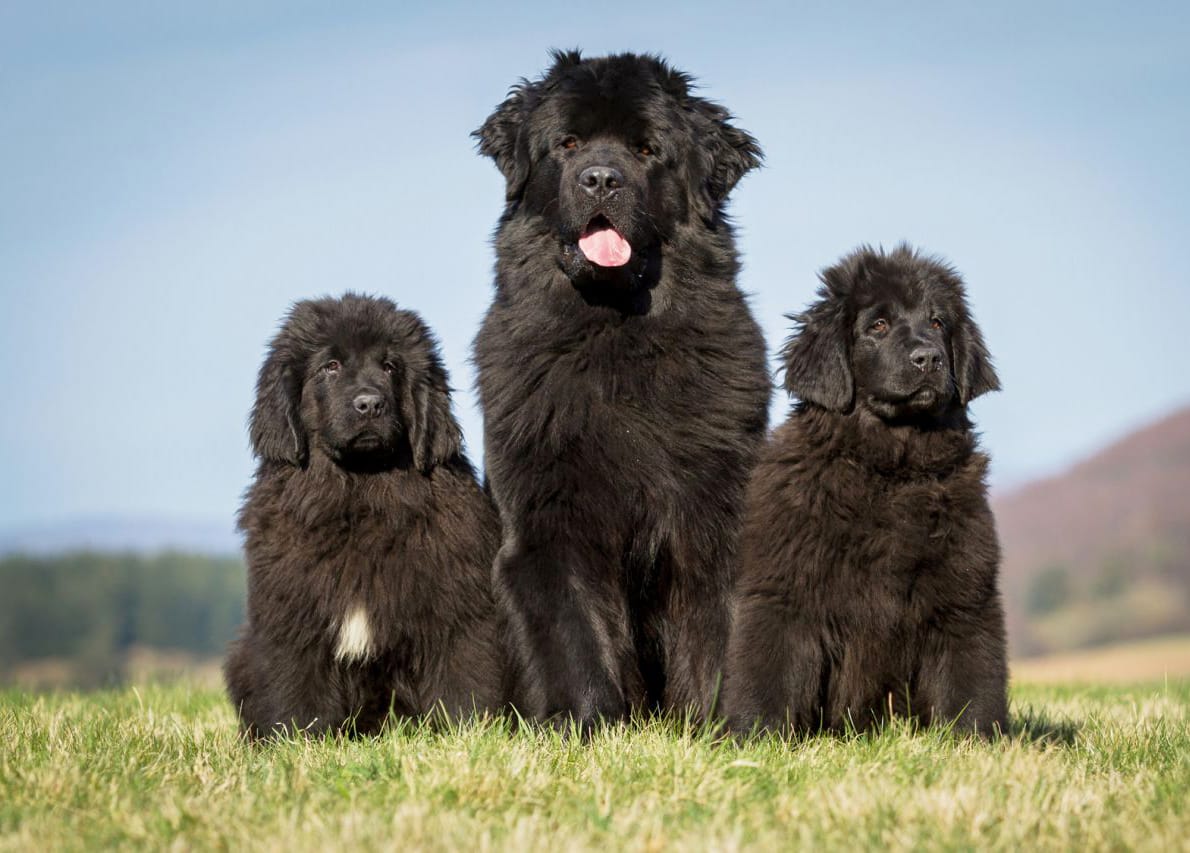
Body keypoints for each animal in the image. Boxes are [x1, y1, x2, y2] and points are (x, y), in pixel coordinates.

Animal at [224, 292, 504, 737]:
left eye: (389, 366)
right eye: (331, 366)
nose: (370, 403)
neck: (359, 495)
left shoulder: (456, 608)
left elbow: (462, 680)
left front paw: (469, 734)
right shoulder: (294, 615)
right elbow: (295, 688)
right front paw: (297, 741)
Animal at [468, 49, 766, 728]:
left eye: (646, 148)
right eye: (568, 143)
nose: (601, 180)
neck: (615, 335)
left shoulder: (716, 515)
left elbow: (716, 632)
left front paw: (718, 727)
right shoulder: (549, 521)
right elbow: (575, 635)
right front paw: (590, 727)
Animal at [718, 242, 1009, 737]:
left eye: (937, 323)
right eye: (878, 325)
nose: (928, 358)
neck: (890, 469)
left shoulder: (964, 593)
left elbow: (969, 681)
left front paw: (977, 742)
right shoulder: (785, 589)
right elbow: (769, 672)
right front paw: (755, 737)